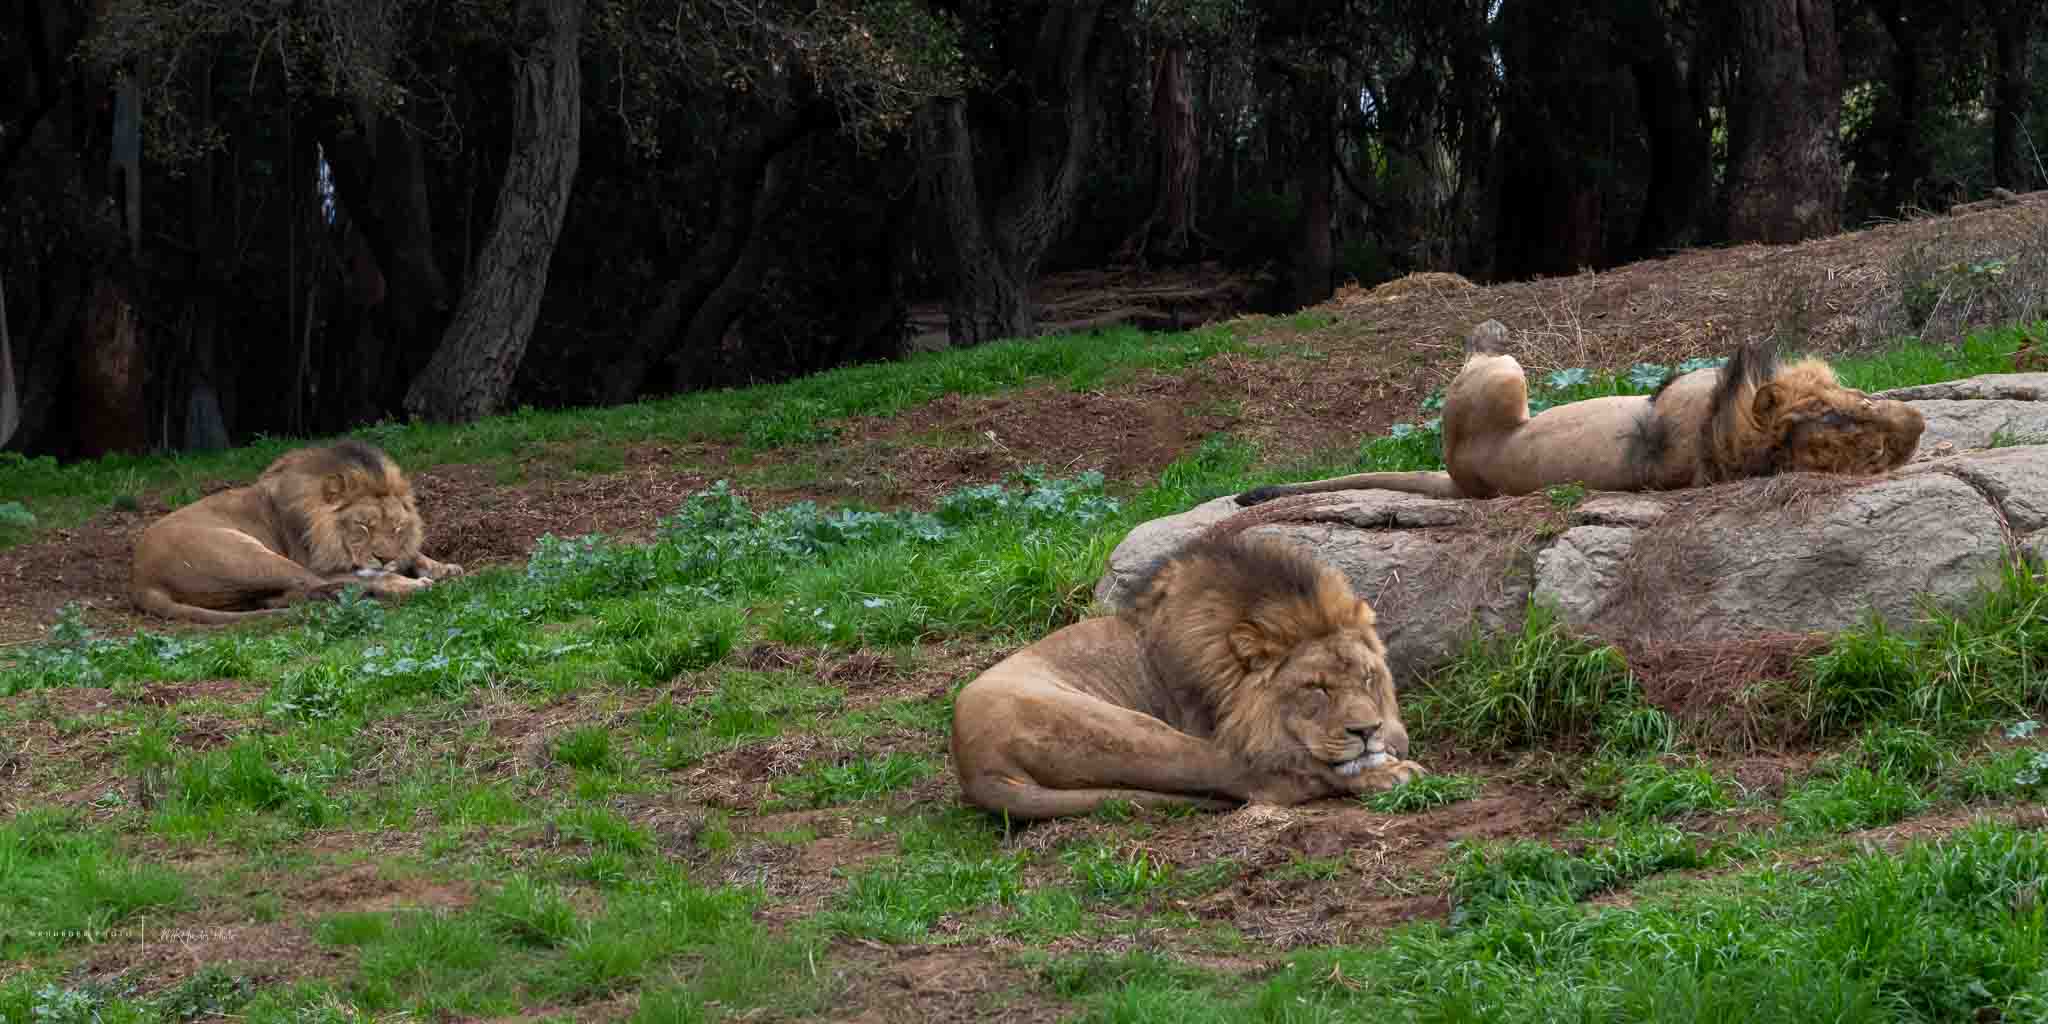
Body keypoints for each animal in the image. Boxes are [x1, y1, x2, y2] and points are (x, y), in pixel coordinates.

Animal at [131, 440, 464, 624]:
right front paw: (416, 578)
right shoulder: (317, 561)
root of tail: (142, 579)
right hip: (249, 555)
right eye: (362, 526)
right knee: (322, 584)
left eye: (396, 527)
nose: (384, 558)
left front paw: (443, 567)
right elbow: (361, 574)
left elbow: (413, 552)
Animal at [950, 535, 1425, 820]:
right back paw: (1389, 774)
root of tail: (974, 765)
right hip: (1126, 729)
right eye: (1316, 689)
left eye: (1368, 679)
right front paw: (1381, 759)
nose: (1366, 730)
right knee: (1259, 778)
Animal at [1236, 320, 1925, 506]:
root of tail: (1461, 479)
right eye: (1849, 410)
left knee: (1483, 357)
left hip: (1503, 383)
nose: (1919, 425)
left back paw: (1489, 330)